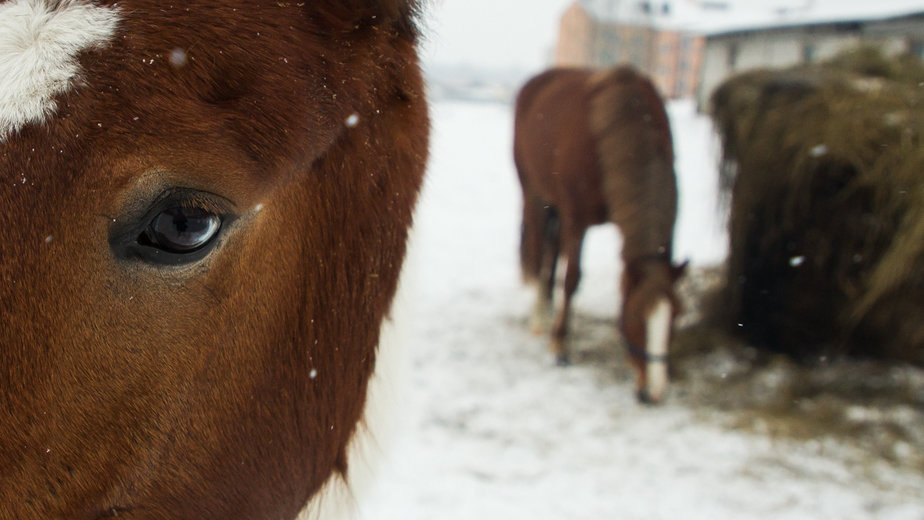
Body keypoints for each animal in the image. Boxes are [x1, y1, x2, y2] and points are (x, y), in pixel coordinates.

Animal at [516, 65, 684, 404]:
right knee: (541, 252)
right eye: (636, 317)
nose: (654, 392)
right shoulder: (577, 220)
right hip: (535, 195)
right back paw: (540, 317)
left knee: (552, 252)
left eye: (675, 316)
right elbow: (572, 279)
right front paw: (560, 347)